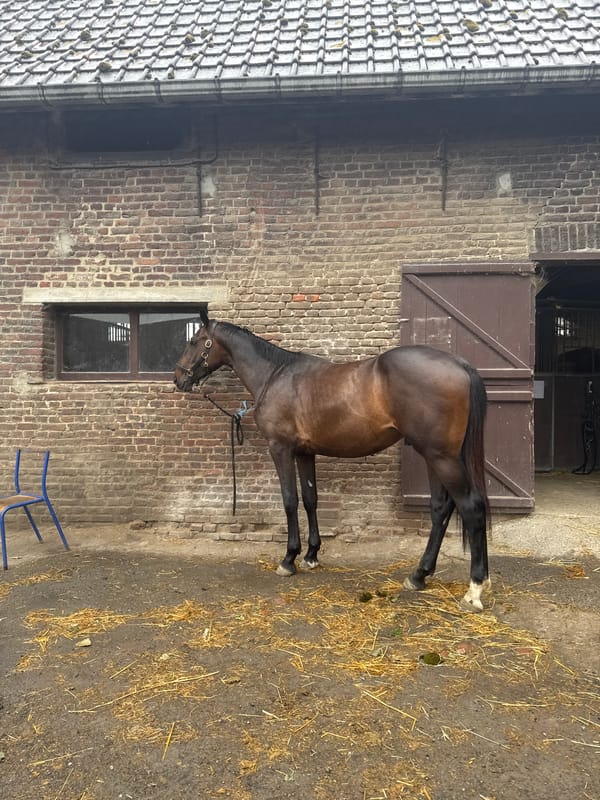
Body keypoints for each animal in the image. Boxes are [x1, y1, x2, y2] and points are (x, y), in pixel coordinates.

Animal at [174, 309, 491, 612]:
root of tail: (460, 365)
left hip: (440, 457)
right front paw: (311, 555)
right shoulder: (305, 452)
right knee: (440, 509)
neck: (275, 376)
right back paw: (419, 576)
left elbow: (289, 500)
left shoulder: (281, 449)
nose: (178, 378)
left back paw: (474, 589)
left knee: (471, 507)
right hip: (434, 456)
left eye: (194, 341)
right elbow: (310, 499)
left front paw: (288, 559)